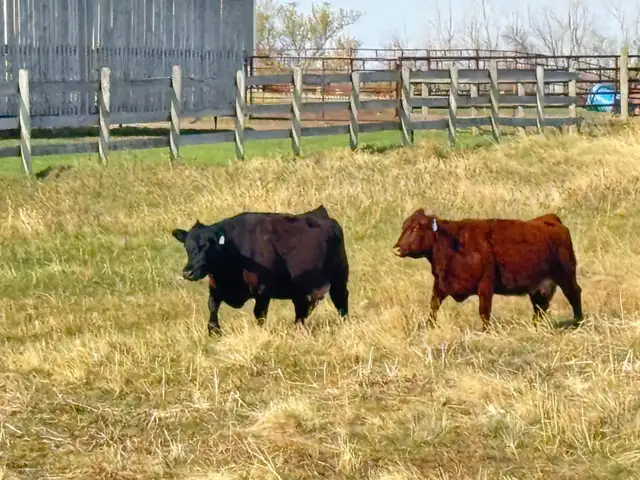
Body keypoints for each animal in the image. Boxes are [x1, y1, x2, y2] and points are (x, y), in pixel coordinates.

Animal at [171, 205, 350, 335]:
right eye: (187, 247)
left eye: (208, 247)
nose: (188, 272)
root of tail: (321, 213)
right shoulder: (215, 287)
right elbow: (212, 307)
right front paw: (214, 331)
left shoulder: (263, 291)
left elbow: (259, 314)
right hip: (301, 288)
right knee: (301, 308)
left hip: (339, 278)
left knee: (340, 300)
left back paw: (345, 322)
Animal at [393, 209, 583, 330]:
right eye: (403, 226)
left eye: (417, 227)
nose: (397, 248)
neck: (453, 243)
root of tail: (551, 219)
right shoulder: (441, 284)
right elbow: (434, 306)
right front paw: (430, 326)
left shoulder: (485, 285)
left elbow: (484, 311)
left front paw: (485, 331)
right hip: (540, 286)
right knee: (540, 305)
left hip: (566, 275)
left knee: (574, 294)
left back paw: (578, 321)